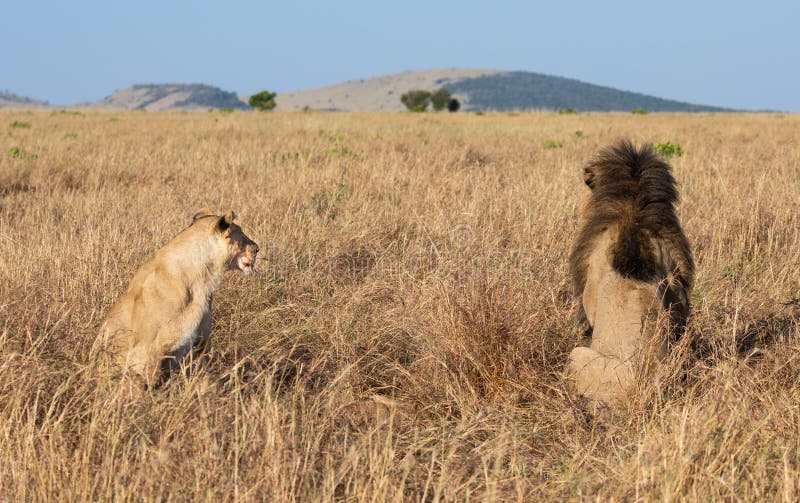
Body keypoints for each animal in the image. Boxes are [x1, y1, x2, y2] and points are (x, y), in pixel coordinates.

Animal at [93, 209, 260, 390]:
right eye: (241, 233)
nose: (257, 249)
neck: (203, 281)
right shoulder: (150, 350)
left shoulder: (199, 345)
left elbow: (204, 380)